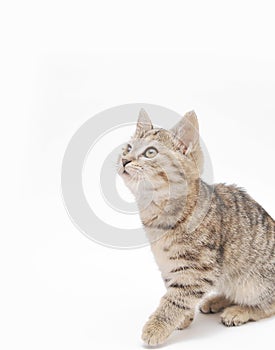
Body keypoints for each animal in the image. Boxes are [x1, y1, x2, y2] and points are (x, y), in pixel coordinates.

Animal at [118, 109, 275, 344]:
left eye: (150, 152)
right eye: (128, 148)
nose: (124, 160)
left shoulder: (197, 270)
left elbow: (175, 299)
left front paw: (158, 326)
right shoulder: (170, 266)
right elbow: (175, 291)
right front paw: (183, 318)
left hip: (253, 282)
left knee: (267, 304)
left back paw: (239, 311)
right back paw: (217, 300)